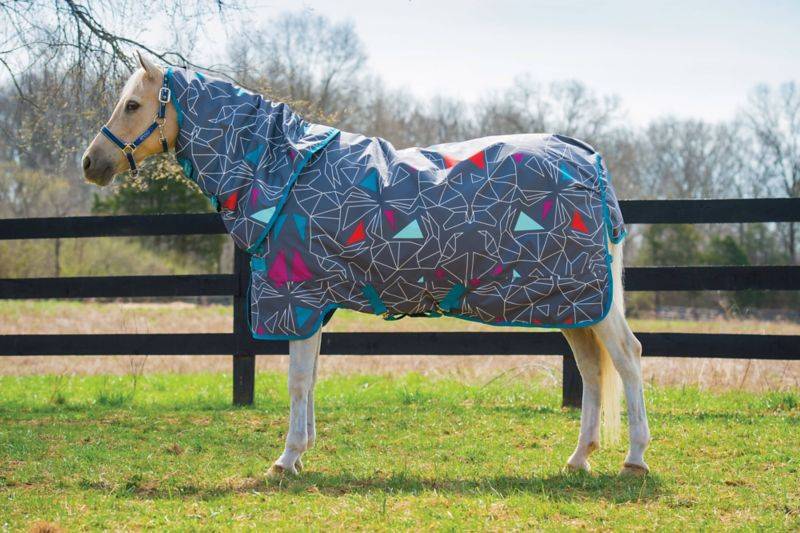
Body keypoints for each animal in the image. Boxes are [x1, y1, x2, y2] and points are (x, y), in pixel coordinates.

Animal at [82, 52, 650, 478]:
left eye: (133, 104)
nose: (90, 163)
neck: (283, 173)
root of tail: (587, 159)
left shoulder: (299, 297)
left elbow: (296, 380)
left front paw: (285, 459)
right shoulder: (316, 303)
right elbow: (310, 378)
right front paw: (301, 453)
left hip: (588, 300)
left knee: (626, 357)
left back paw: (635, 459)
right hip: (568, 301)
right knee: (592, 369)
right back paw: (578, 458)